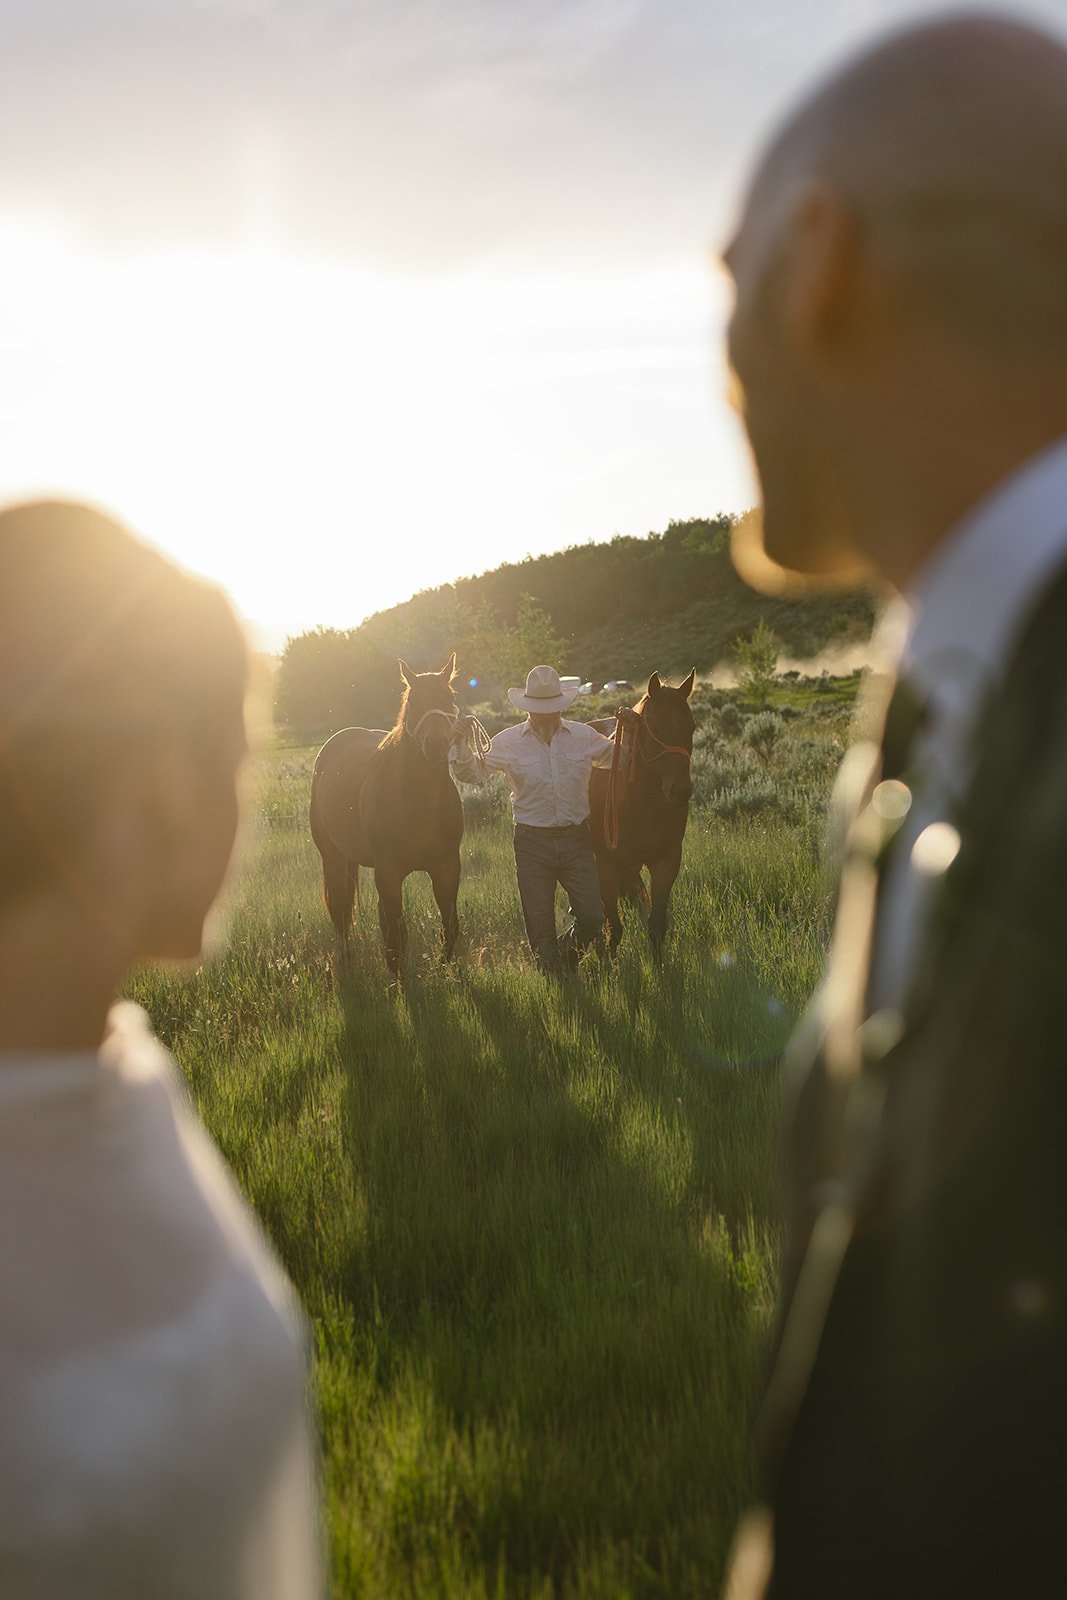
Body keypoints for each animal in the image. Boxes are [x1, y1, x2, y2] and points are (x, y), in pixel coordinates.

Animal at [309, 655, 463, 979]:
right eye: (413, 700)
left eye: (450, 698)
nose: (436, 744)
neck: (417, 801)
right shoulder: (389, 872)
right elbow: (396, 936)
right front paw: (400, 982)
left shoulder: (447, 867)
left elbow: (449, 926)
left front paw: (443, 971)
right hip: (334, 858)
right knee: (341, 913)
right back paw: (347, 966)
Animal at [588, 669, 696, 956]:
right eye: (655, 727)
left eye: (692, 727)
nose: (680, 790)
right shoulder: (605, 864)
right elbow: (613, 926)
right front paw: (608, 963)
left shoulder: (666, 860)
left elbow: (656, 924)